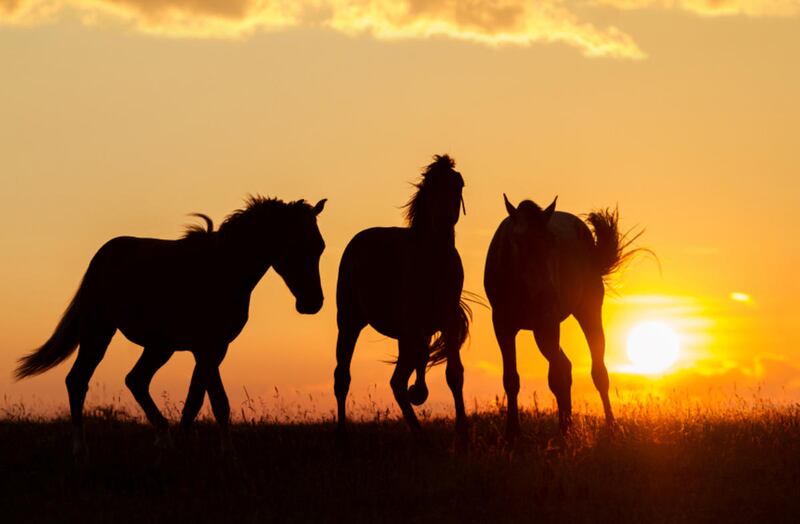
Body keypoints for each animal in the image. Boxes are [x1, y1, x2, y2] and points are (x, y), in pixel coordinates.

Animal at [15, 196, 327, 458]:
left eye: (320, 247)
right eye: (295, 245)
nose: (312, 303)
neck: (222, 269)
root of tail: (102, 256)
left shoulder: (215, 349)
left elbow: (196, 399)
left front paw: (185, 445)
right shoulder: (205, 347)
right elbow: (218, 401)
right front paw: (228, 452)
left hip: (159, 346)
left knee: (136, 380)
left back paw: (163, 438)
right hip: (99, 332)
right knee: (78, 380)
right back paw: (81, 448)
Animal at [334, 155, 471, 441]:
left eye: (457, 185)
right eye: (430, 187)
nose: (443, 220)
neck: (434, 260)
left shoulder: (446, 323)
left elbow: (454, 374)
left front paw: (462, 430)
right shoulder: (413, 325)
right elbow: (416, 364)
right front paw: (419, 392)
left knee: (397, 380)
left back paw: (418, 429)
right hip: (350, 322)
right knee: (343, 376)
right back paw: (342, 435)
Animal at [484, 194, 639, 440]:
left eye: (551, 241)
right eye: (518, 240)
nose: (547, 293)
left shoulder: (548, 323)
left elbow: (556, 377)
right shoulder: (502, 325)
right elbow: (511, 379)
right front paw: (512, 433)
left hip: (586, 314)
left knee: (597, 371)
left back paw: (609, 425)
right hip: (540, 332)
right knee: (566, 366)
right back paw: (566, 425)